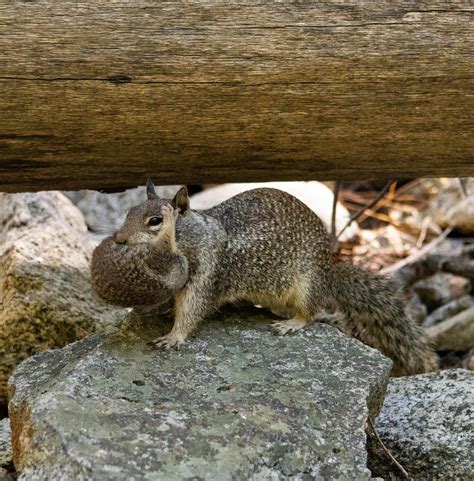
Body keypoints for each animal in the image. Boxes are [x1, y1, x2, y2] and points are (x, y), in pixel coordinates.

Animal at [90, 178, 438, 376]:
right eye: (128, 211)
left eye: (154, 220)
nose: (119, 240)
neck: (193, 236)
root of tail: (329, 274)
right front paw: (159, 310)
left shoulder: (207, 272)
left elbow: (192, 308)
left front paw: (173, 336)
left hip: (306, 284)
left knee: (312, 313)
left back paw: (291, 323)